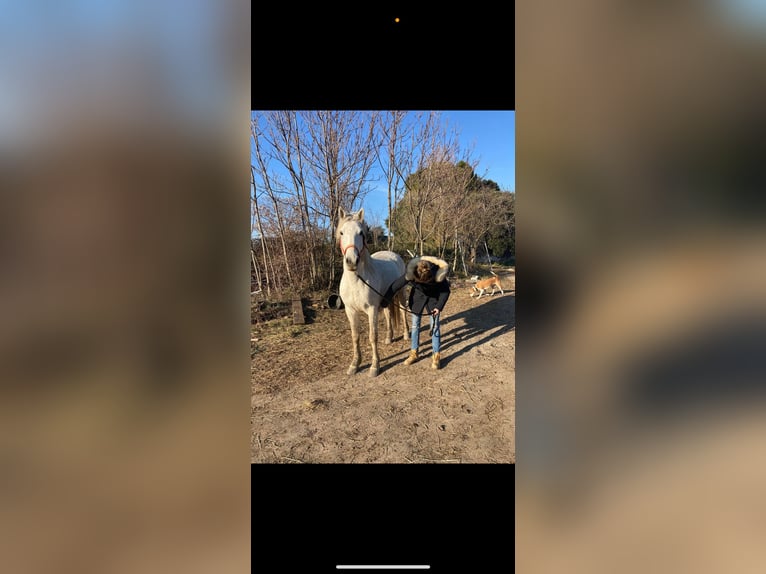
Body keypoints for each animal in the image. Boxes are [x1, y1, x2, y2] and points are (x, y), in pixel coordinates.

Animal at [336, 207, 408, 378]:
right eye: (341, 232)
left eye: (361, 233)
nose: (351, 261)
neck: (356, 280)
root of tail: (394, 255)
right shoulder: (350, 311)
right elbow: (355, 336)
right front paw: (354, 364)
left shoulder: (372, 310)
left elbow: (372, 336)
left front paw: (375, 366)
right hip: (386, 299)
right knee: (388, 315)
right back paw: (389, 338)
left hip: (401, 294)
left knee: (403, 311)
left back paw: (407, 335)